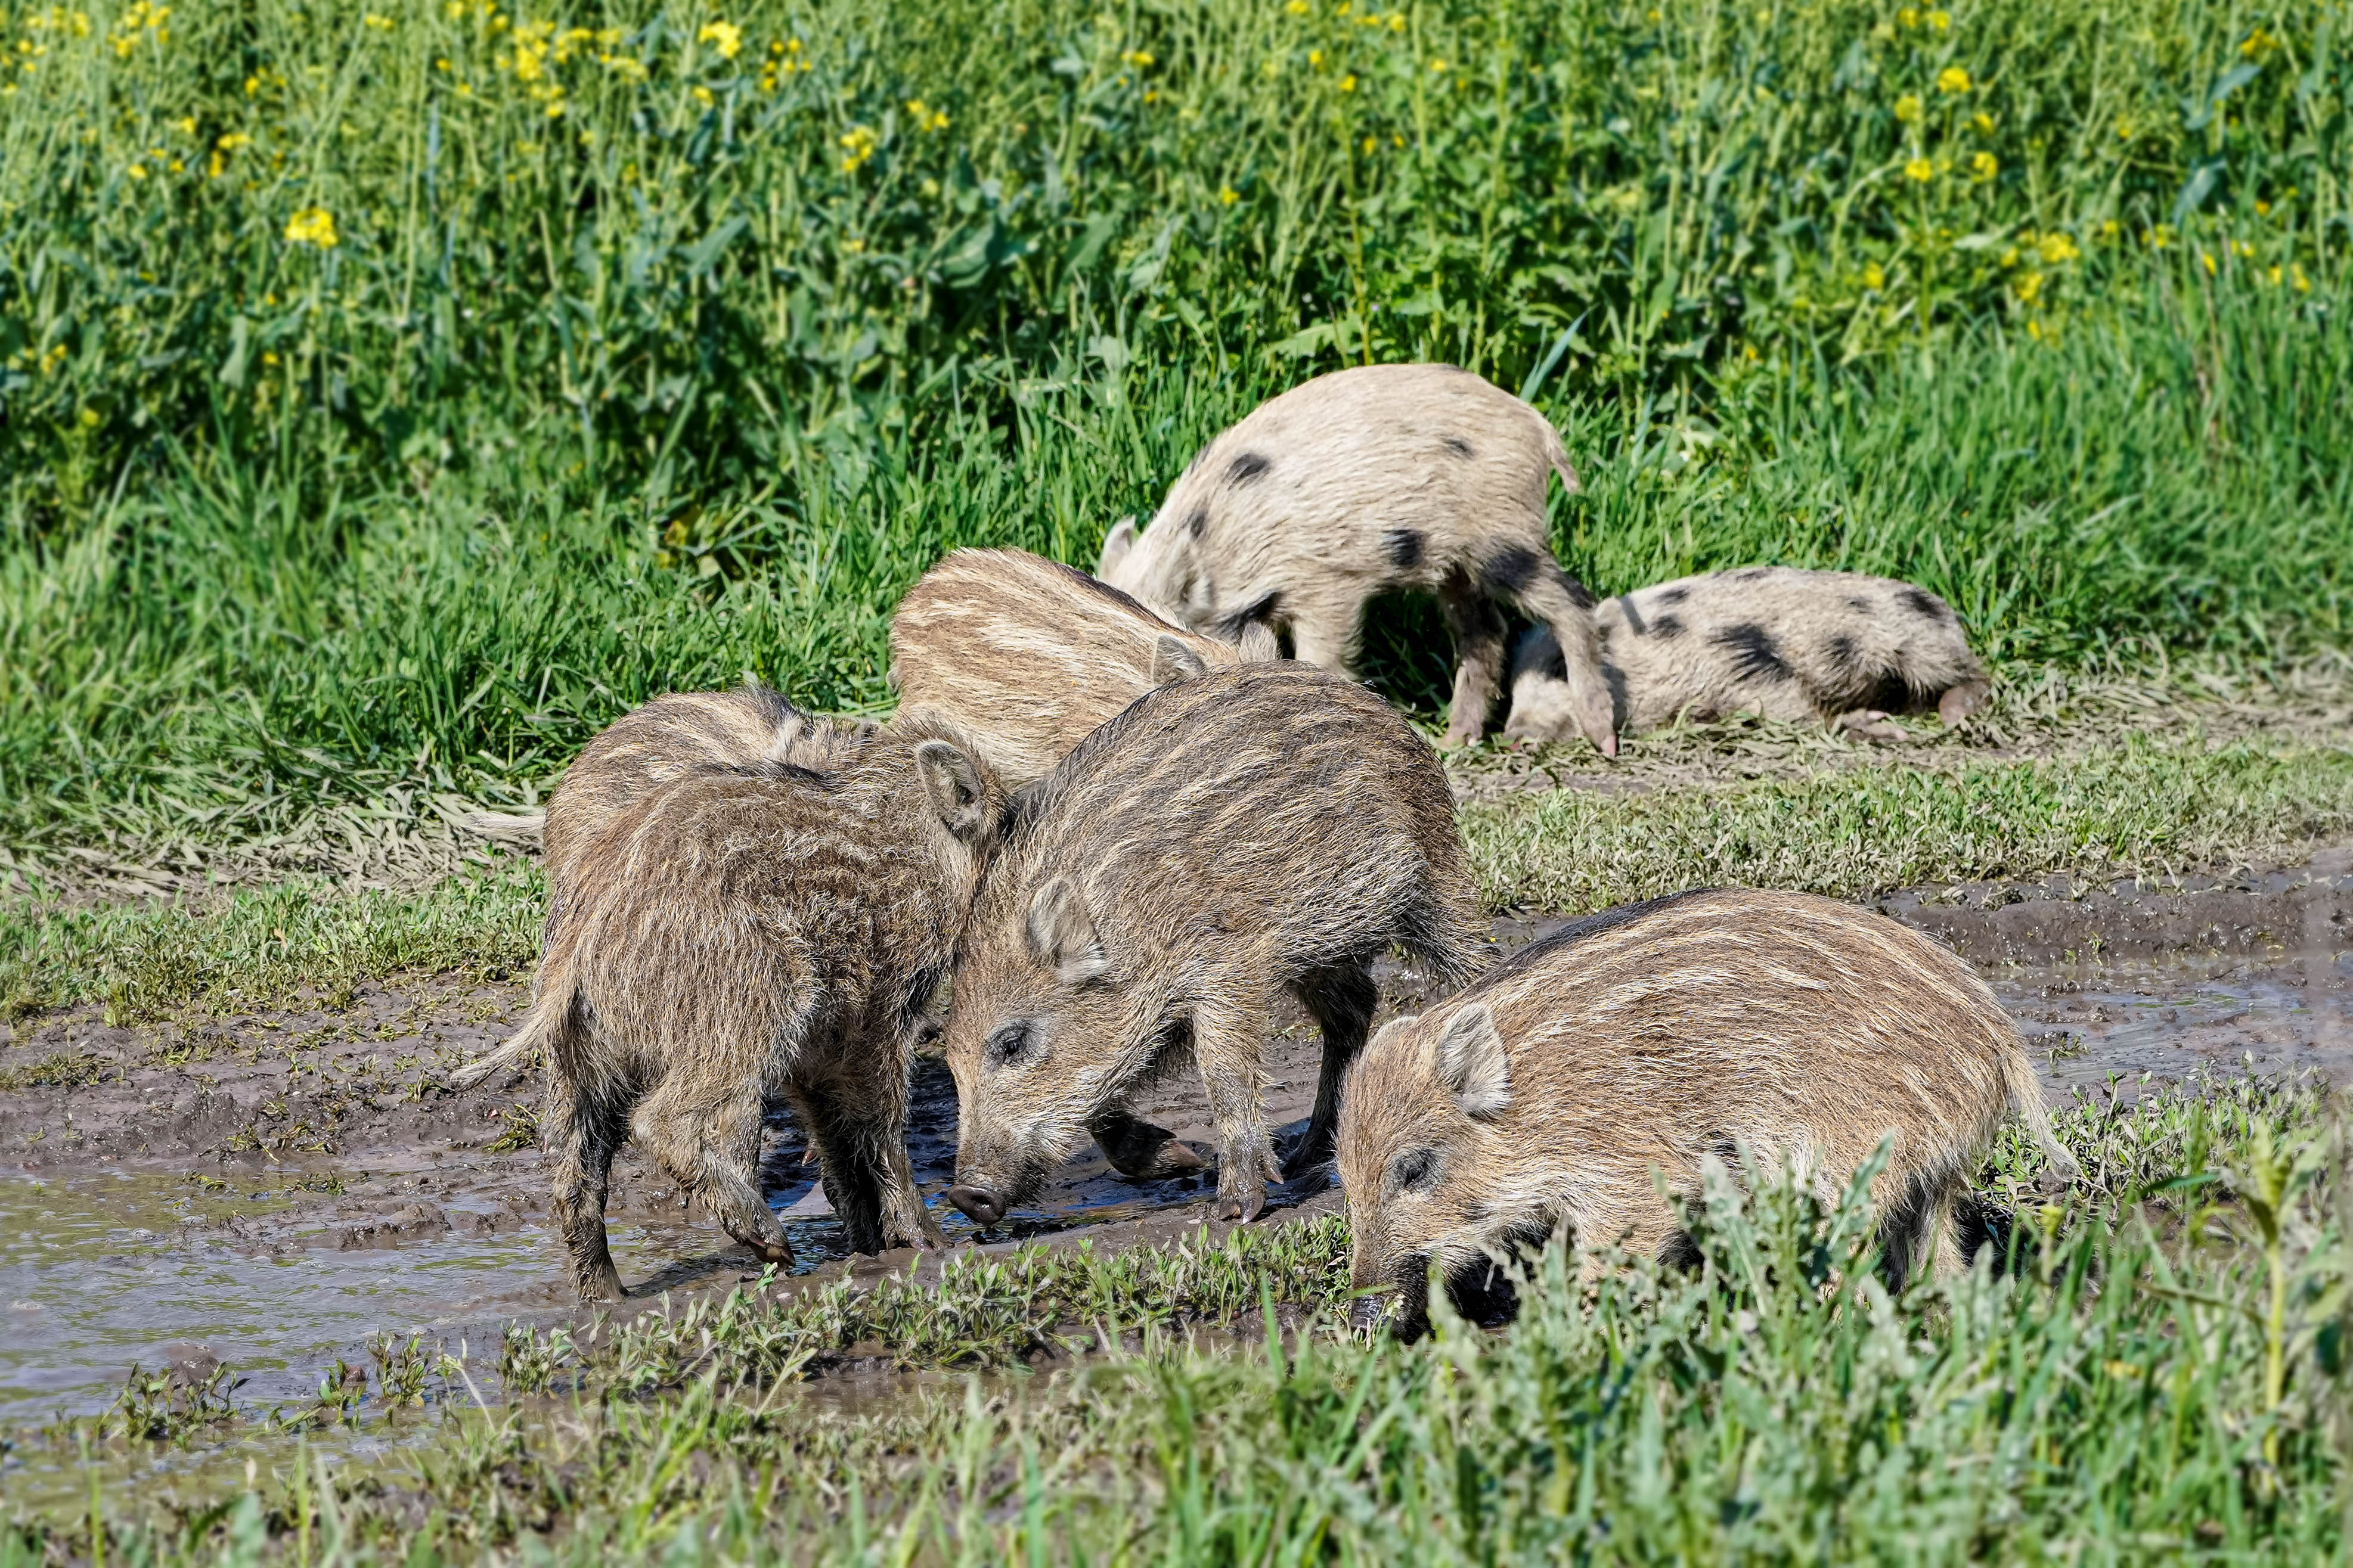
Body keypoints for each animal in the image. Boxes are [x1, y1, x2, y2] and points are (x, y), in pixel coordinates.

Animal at [453, 723, 1007, 1300]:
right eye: (1003, 819)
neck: (920, 848)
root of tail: (580, 940)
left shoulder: (821, 1044)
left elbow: (837, 1133)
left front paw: (868, 1246)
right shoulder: (879, 1009)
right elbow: (881, 1124)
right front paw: (931, 1244)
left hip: (581, 1054)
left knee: (572, 1178)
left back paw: (608, 1296)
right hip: (750, 1003)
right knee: (659, 1119)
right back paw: (769, 1241)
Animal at [937, 662, 1484, 1229]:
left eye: (1011, 1042)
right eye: (949, 1058)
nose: (965, 1196)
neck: (1128, 924)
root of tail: (1374, 701)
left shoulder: (1228, 965)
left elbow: (1221, 1070)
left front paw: (1237, 1208)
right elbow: (1103, 1101)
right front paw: (1182, 1159)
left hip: (1435, 868)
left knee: (1468, 960)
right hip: (1320, 947)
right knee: (1354, 1006)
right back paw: (1306, 1155)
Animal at [1094, 363, 1617, 755]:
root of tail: (1536, 424)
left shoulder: (1329, 583)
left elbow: (1322, 654)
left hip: (1503, 533)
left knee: (1571, 602)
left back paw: (1603, 739)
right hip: (1453, 564)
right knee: (1484, 631)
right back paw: (1453, 741)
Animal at [1338, 887, 2078, 1340]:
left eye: (1414, 1167)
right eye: (1342, 1179)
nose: (1360, 1315)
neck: (1538, 1100)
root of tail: (1997, 1035)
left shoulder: (1631, 1175)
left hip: (1853, 1167)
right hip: (1930, 1178)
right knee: (1940, 1264)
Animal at [1502, 567, 1992, 744]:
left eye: (1559, 670)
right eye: (1510, 686)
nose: (1512, 733)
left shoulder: (1751, 663)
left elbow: (1799, 708)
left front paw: (1877, 727)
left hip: (1923, 641)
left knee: (1976, 675)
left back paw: (1955, 718)